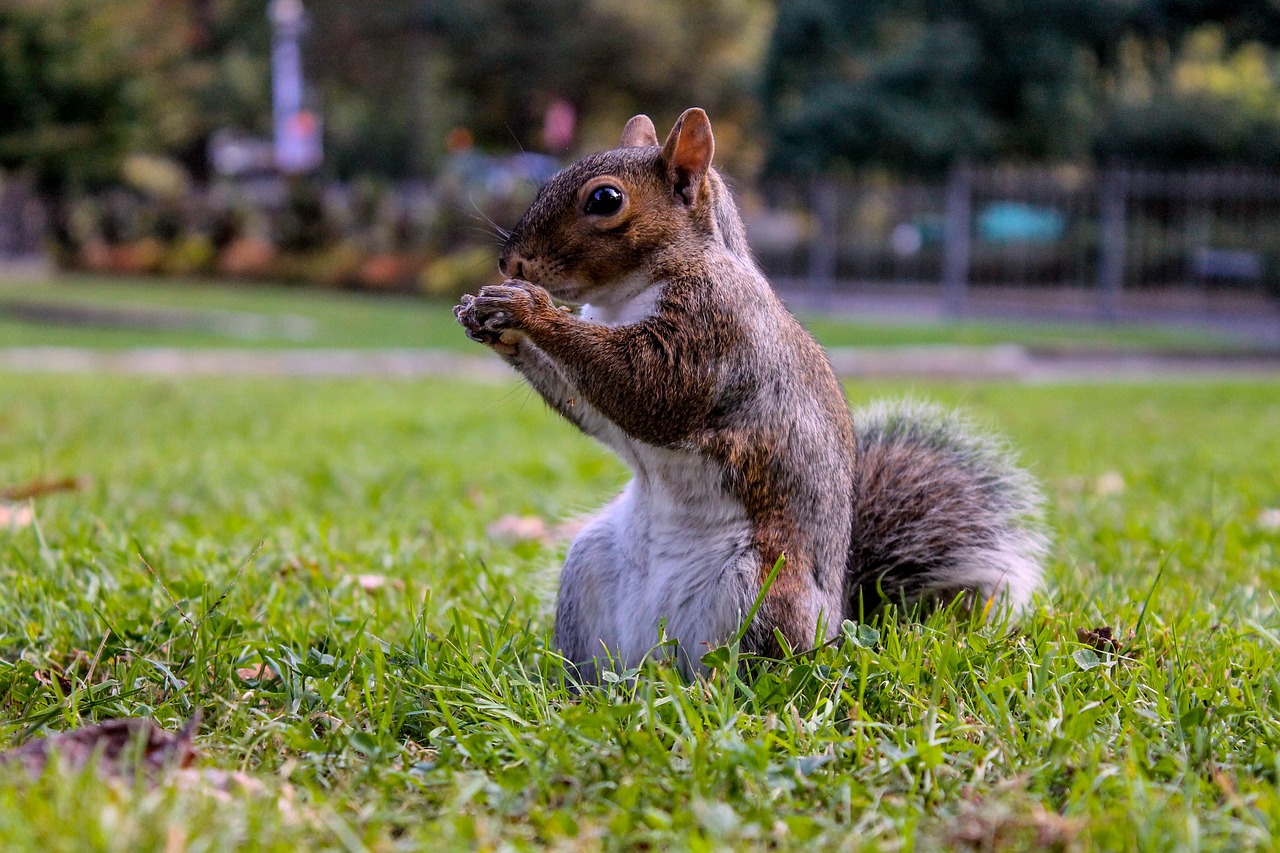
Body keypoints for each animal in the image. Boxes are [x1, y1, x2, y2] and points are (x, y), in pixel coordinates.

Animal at [455, 108, 1044, 676]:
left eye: (605, 199)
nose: (511, 264)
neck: (628, 295)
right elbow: (592, 406)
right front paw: (489, 322)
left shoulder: (714, 326)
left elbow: (649, 390)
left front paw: (527, 310)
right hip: (589, 567)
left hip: (757, 592)